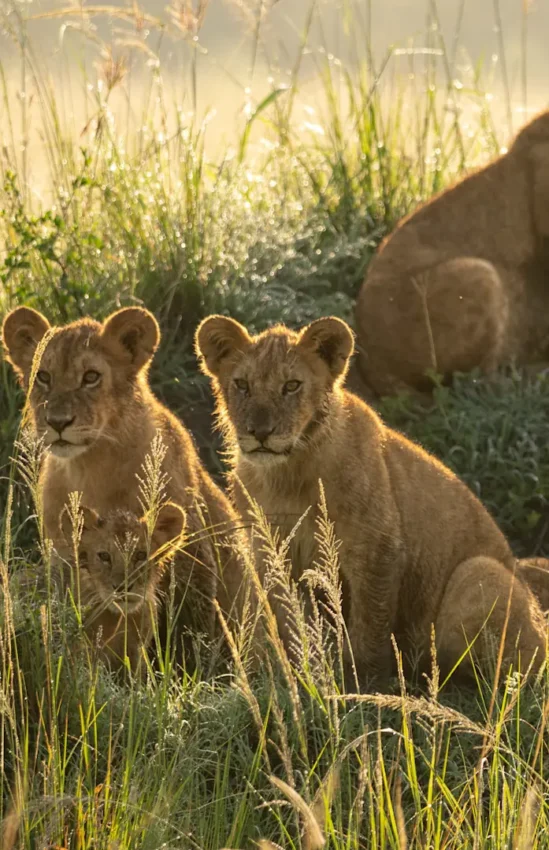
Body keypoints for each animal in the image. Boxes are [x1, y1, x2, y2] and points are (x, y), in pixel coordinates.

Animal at [1, 306, 246, 633]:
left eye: (91, 377)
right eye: (43, 376)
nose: (57, 422)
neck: (90, 465)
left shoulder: (189, 547)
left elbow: (193, 623)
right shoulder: (63, 553)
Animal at [196, 313, 547, 686]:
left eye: (291, 386)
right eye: (242, 384)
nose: (260, 432)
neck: (288, 475)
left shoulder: (377, 548)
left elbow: (370, 624)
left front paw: (360, 682)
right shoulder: (273, 552)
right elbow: (294, 620)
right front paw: (301, 672)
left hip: (480, 572)